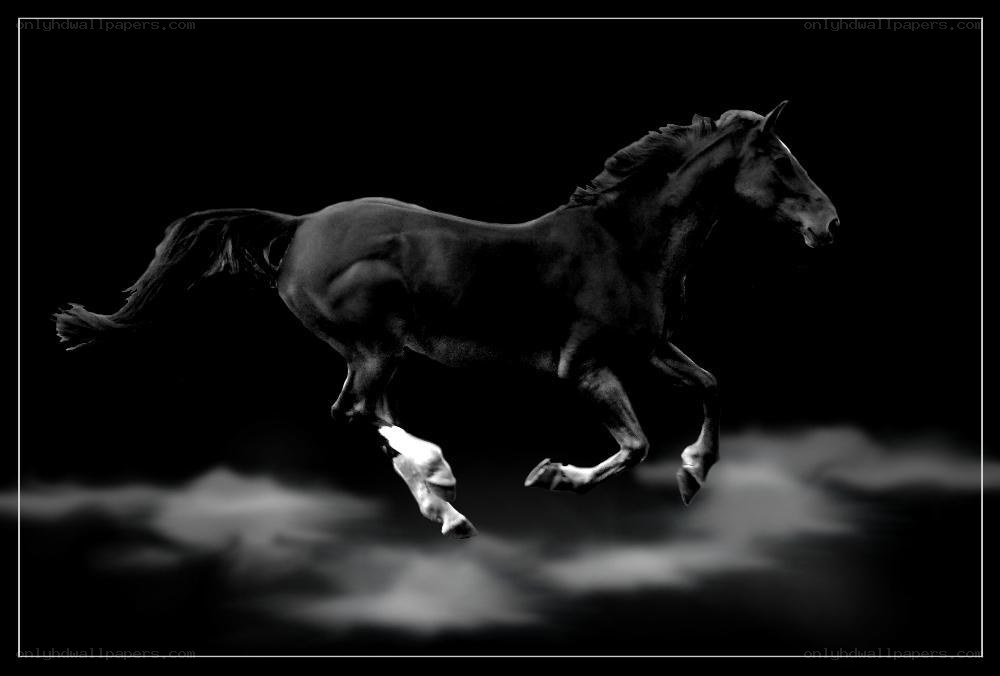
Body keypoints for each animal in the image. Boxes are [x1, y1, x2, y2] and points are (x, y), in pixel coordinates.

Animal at [54, 101, 839, 539]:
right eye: (779, 158)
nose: (830, 224)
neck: (626, 242)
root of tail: (300, 225)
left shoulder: (650, 348)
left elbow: (709, 384)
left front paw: (693, 474)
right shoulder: (585, 365)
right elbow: (636, 442)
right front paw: (553, 475)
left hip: (381, 352)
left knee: (369, 415)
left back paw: (446, 508)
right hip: (375, 343)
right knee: (356, 411)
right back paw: (440, 475)